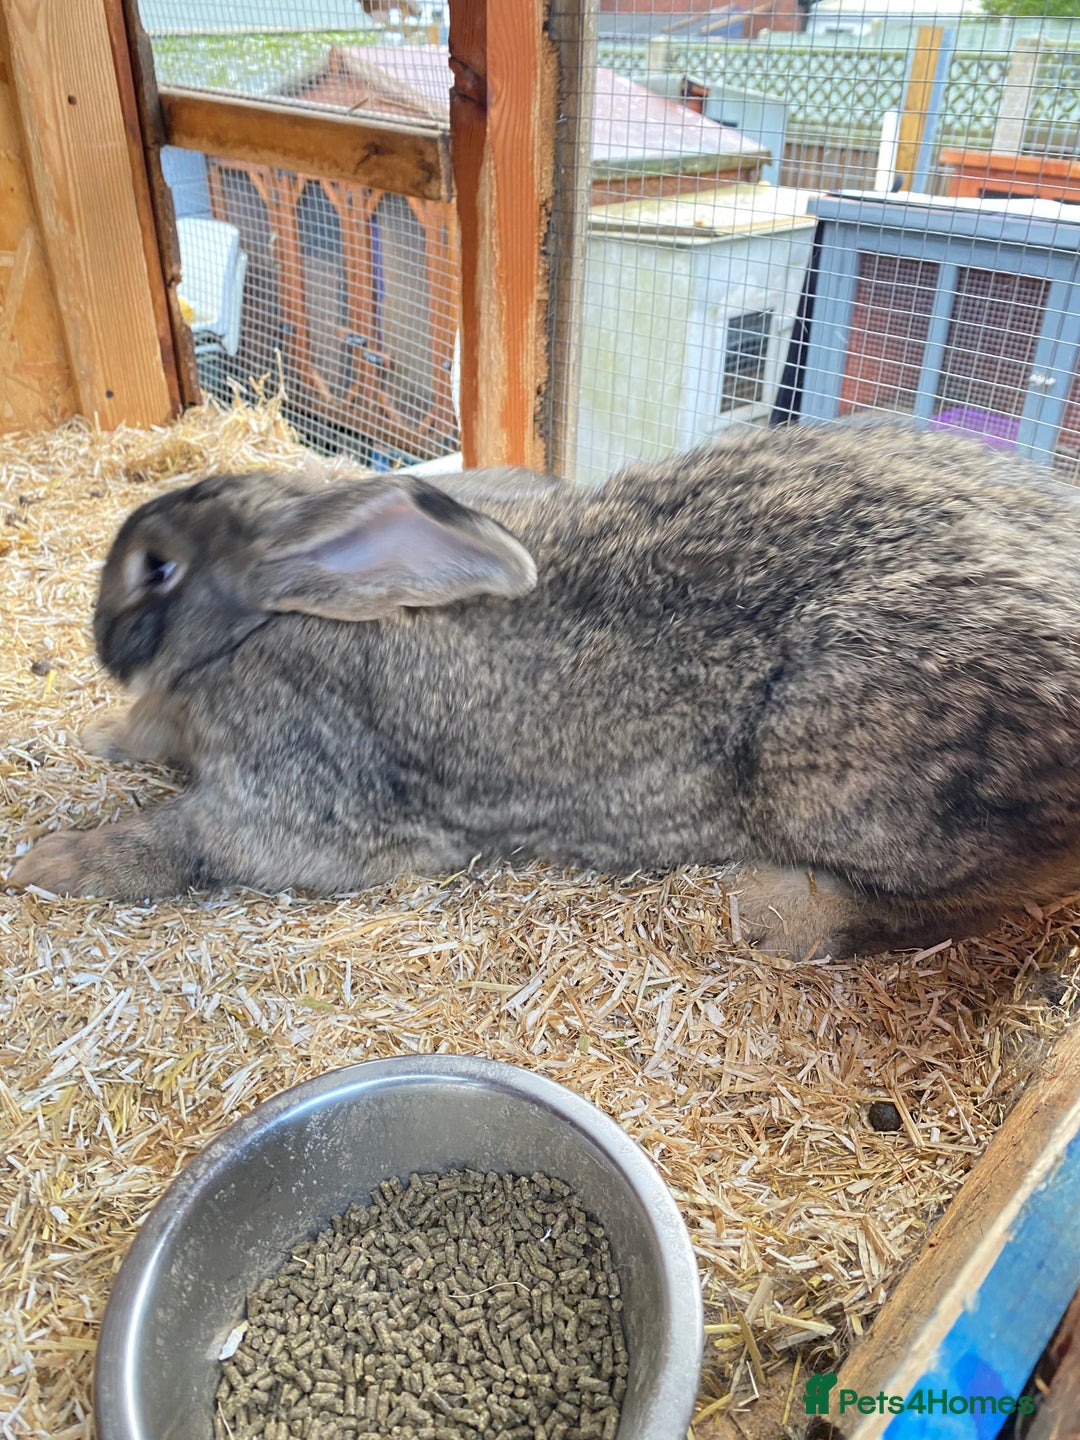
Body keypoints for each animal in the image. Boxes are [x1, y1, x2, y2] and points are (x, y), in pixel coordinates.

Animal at [11, 418, 1080, 960]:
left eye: (155, 569)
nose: (101, 636)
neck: (271, 614)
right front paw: (108, 734)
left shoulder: (297, 807)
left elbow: (180, 841)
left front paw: (45, 863)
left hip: (845, 760)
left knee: (992, 891)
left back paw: (788, 912)